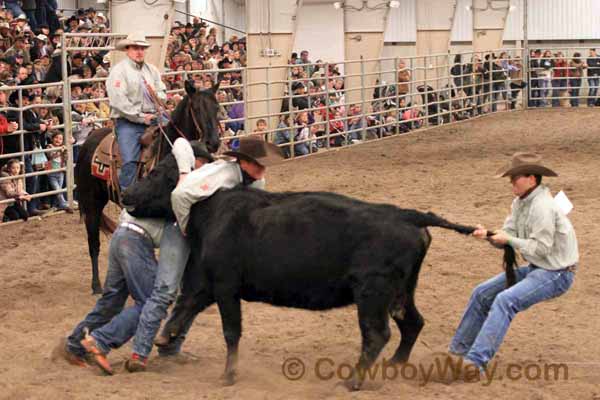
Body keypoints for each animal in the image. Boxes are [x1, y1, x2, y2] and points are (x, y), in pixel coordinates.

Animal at [75, 81, 220, 294]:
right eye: (196, 108)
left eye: (217, 107)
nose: (213, 143)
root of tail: (88, 142)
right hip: (91, 203)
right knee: (93, 243)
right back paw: (96, 285)